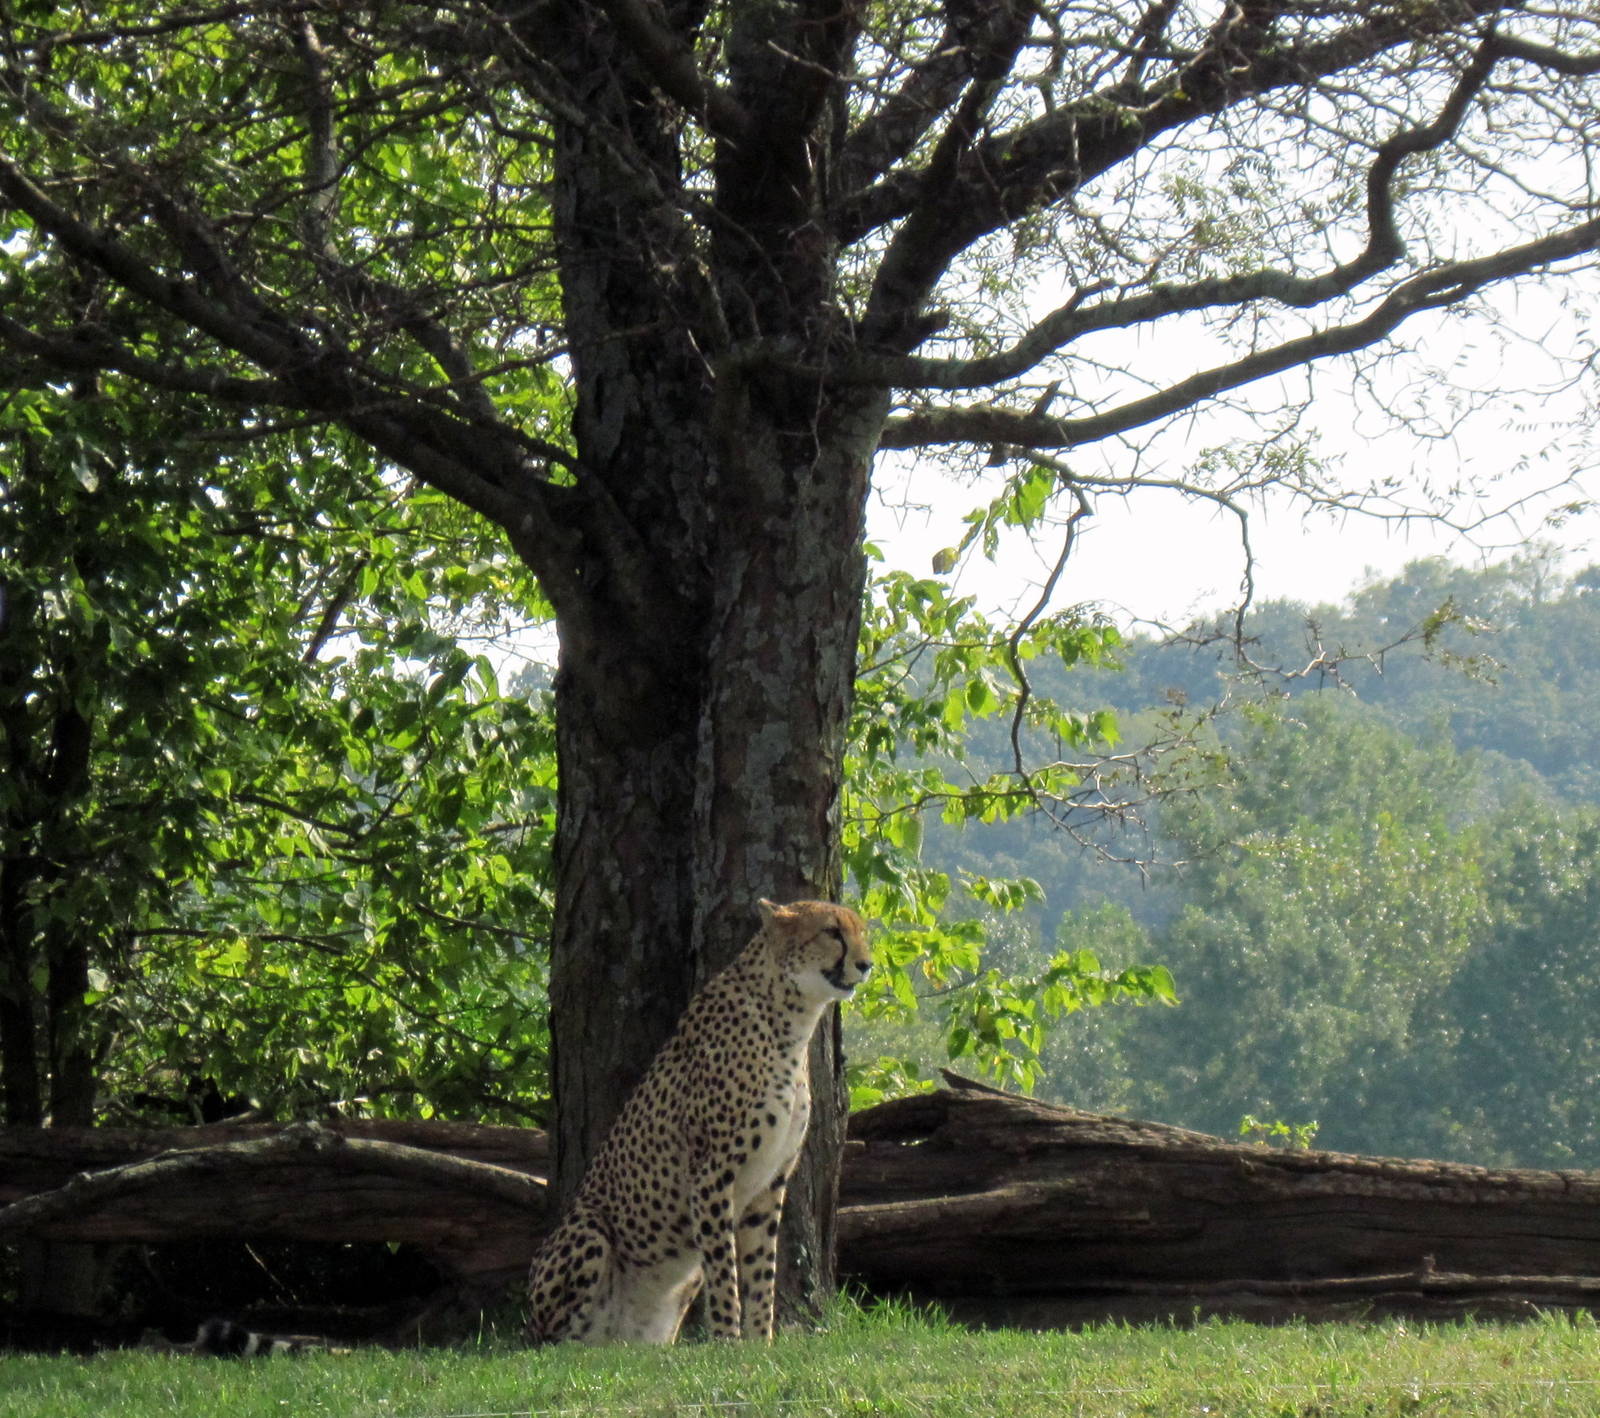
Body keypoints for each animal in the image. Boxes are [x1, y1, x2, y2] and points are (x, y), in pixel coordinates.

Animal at [525, 898, 871, 1347]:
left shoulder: (770, 1182)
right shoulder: (712, 1174)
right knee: (552, 1344)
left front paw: (761, 1343)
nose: (866, 964)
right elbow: (724, 1272)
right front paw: (727, 1341)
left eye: (862, 932)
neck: (789, 1021)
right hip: (589, 1230)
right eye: (832, 932)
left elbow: (761, 1272)